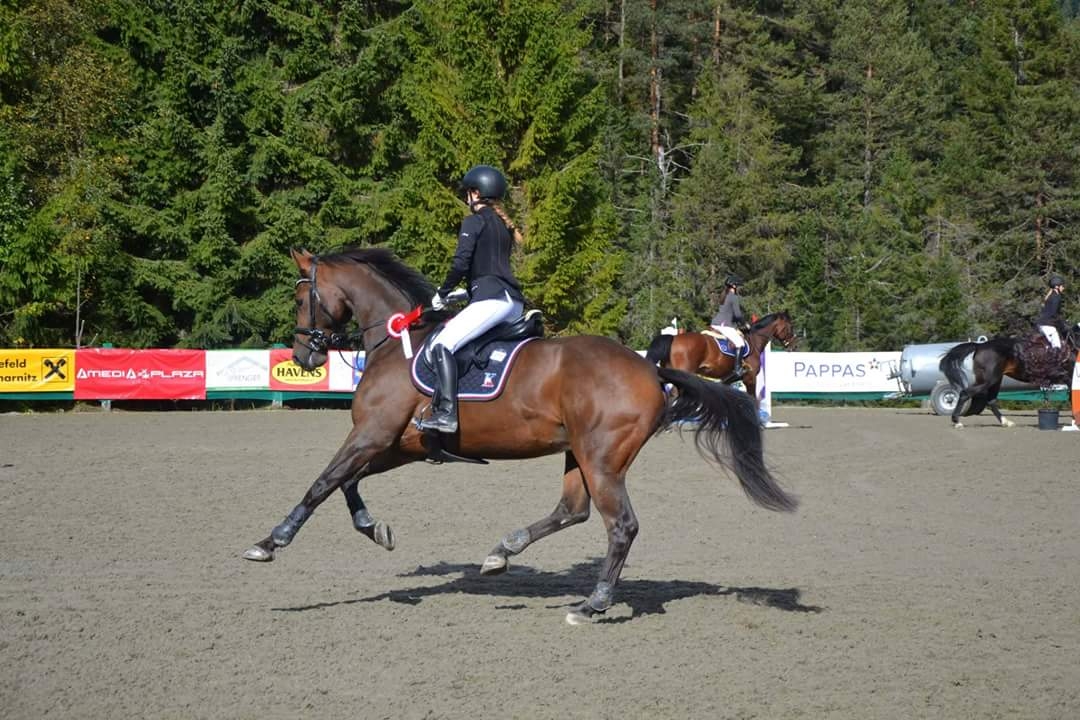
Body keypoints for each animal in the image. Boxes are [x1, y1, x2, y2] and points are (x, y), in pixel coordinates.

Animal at [644, 312, 797, 411]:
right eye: (790, 327)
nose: (793, 346)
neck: (753, 341)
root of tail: (674, 338)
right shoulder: (750, 378)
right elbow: (753, 399)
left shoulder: (728, 380)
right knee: (674, 394)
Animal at [939, 326, 1079, 429]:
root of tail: (979, 346)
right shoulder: (1068, 378)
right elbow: (1072, 398)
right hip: (989, 380)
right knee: (965, 393)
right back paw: (957, 422)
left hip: (996, 380)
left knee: (991, 400)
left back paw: (1006, 422)